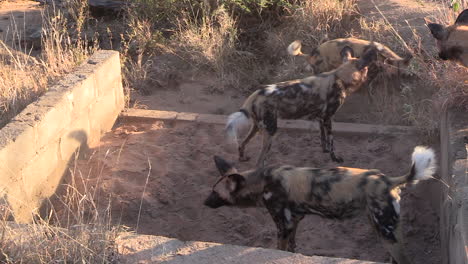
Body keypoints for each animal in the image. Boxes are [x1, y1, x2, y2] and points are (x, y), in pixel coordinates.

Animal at [203, 145, 436, 262]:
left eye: (215, 193)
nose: (204, 202)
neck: (261, 182)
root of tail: (388, 180)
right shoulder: (294, 222)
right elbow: (291, 249)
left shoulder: (282, 225)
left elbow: (280, 248)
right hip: (382, 228)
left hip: (386, 231)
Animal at [226, 44, 376, 166]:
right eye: (367, 69)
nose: (370, 77)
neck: (339, 76)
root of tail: (255, 95)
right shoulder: (328, 118)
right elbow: (332, 141)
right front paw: (335, 158)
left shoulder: (321, 118)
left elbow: (323, 138)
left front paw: (325, 151)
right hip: (270, 130)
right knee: (259, 161)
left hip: (256, 127)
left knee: (241, 144)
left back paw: (242, 158)